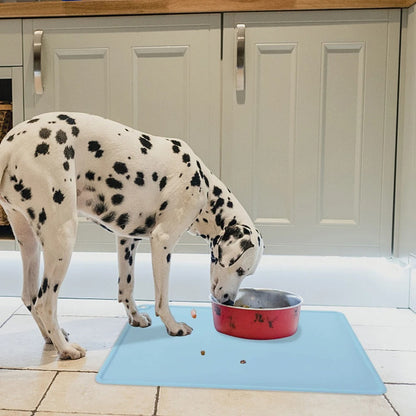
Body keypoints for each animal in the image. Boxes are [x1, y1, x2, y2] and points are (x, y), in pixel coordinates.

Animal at [0, 112, 264, 360]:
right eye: (240, 270)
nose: (229, 302)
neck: (205, 187)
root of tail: (10, 144)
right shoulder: (163, 242)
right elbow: (162, 298)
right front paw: (173, 326)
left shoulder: (127, 240)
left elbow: (127, 287)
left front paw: (135, 317)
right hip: (62, 238)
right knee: (44, 302)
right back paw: (65, 348)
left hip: (30, 245)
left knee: (29, 297)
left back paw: (51, 338)